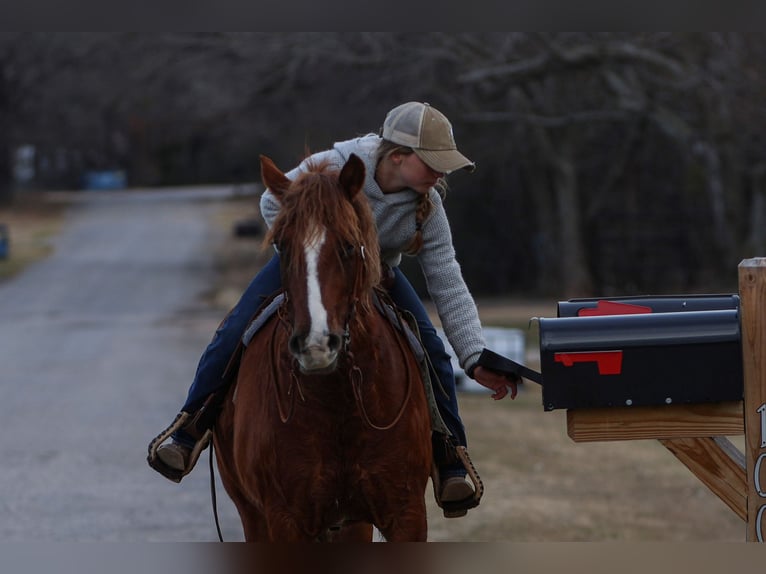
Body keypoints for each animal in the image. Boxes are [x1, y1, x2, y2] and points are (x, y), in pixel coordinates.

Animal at [213, 154, 436, 544]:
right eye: (282, 245)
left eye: (348, 245)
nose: (316, 343)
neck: (339, 403)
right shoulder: (285, 519)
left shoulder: (406, 514)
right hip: (253, 515)